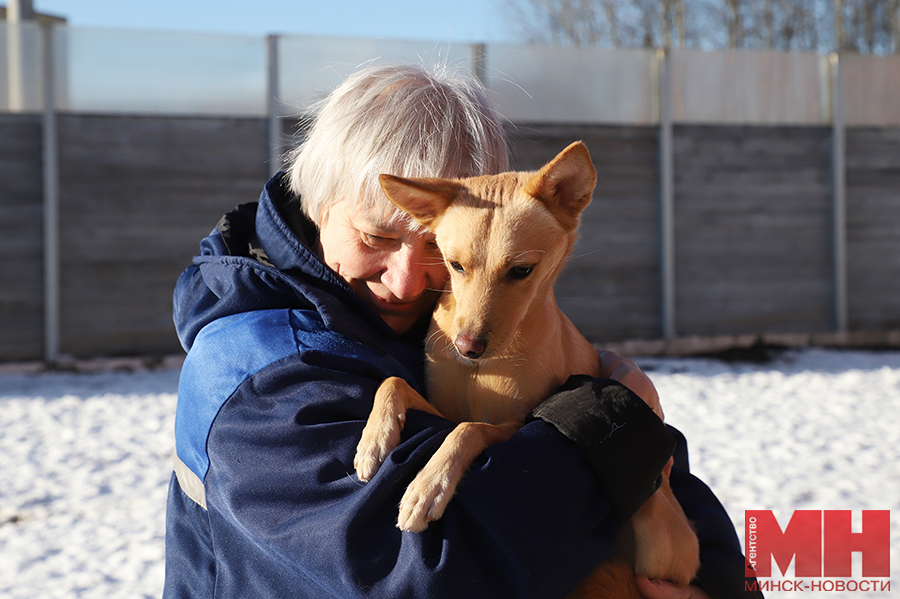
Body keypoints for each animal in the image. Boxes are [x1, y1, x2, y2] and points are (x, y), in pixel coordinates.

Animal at [356, 142, 700, 596]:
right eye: (454, 265)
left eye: (522, 271)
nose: (467, 347)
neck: (484, 370)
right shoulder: (441, 407)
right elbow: (394, 382)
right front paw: (374, 441)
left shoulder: (518, 421)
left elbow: (470, 429)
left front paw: (427, 487)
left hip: (655, 526)